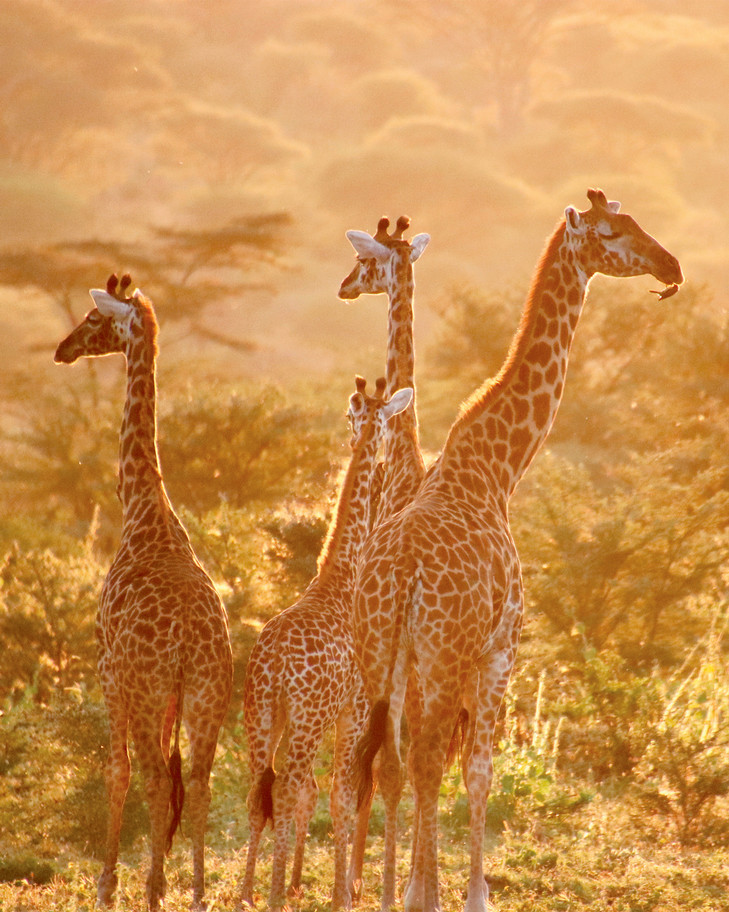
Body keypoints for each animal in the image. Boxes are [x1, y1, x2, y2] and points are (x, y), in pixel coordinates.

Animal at [54, 275, 233, 911]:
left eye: (92, 318)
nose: (61, 349)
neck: (142, 507)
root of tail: (186, 642)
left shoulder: (108, 668)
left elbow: (118, 771)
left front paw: (107, 883)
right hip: (207, 692)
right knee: (199, 781)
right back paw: (197, 892)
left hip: (153, 688)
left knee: (155, 776)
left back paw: (153, 888)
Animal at [239, 377, 413, 911]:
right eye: (382, 422)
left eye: (355, 416)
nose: (363, 443)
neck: (338, 577)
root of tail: (274, 665)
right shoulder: (353, 709)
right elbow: (341, 794)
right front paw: (341, 895)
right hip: (306, 719)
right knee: (290, 788)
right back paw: (274, 896)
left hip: (259, 715)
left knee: (259, 791)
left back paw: (247, 894)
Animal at [352, 190, 683, 912]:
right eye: (612, 232)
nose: (669, 266)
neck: (495, 468)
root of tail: (401, 575)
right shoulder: (501, 648)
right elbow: (478, 771)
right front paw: (472, 894)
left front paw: (425, 888)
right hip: (441, 658)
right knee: (425, 762)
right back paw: (423, 894)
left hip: (379, 659)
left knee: (384, 762)